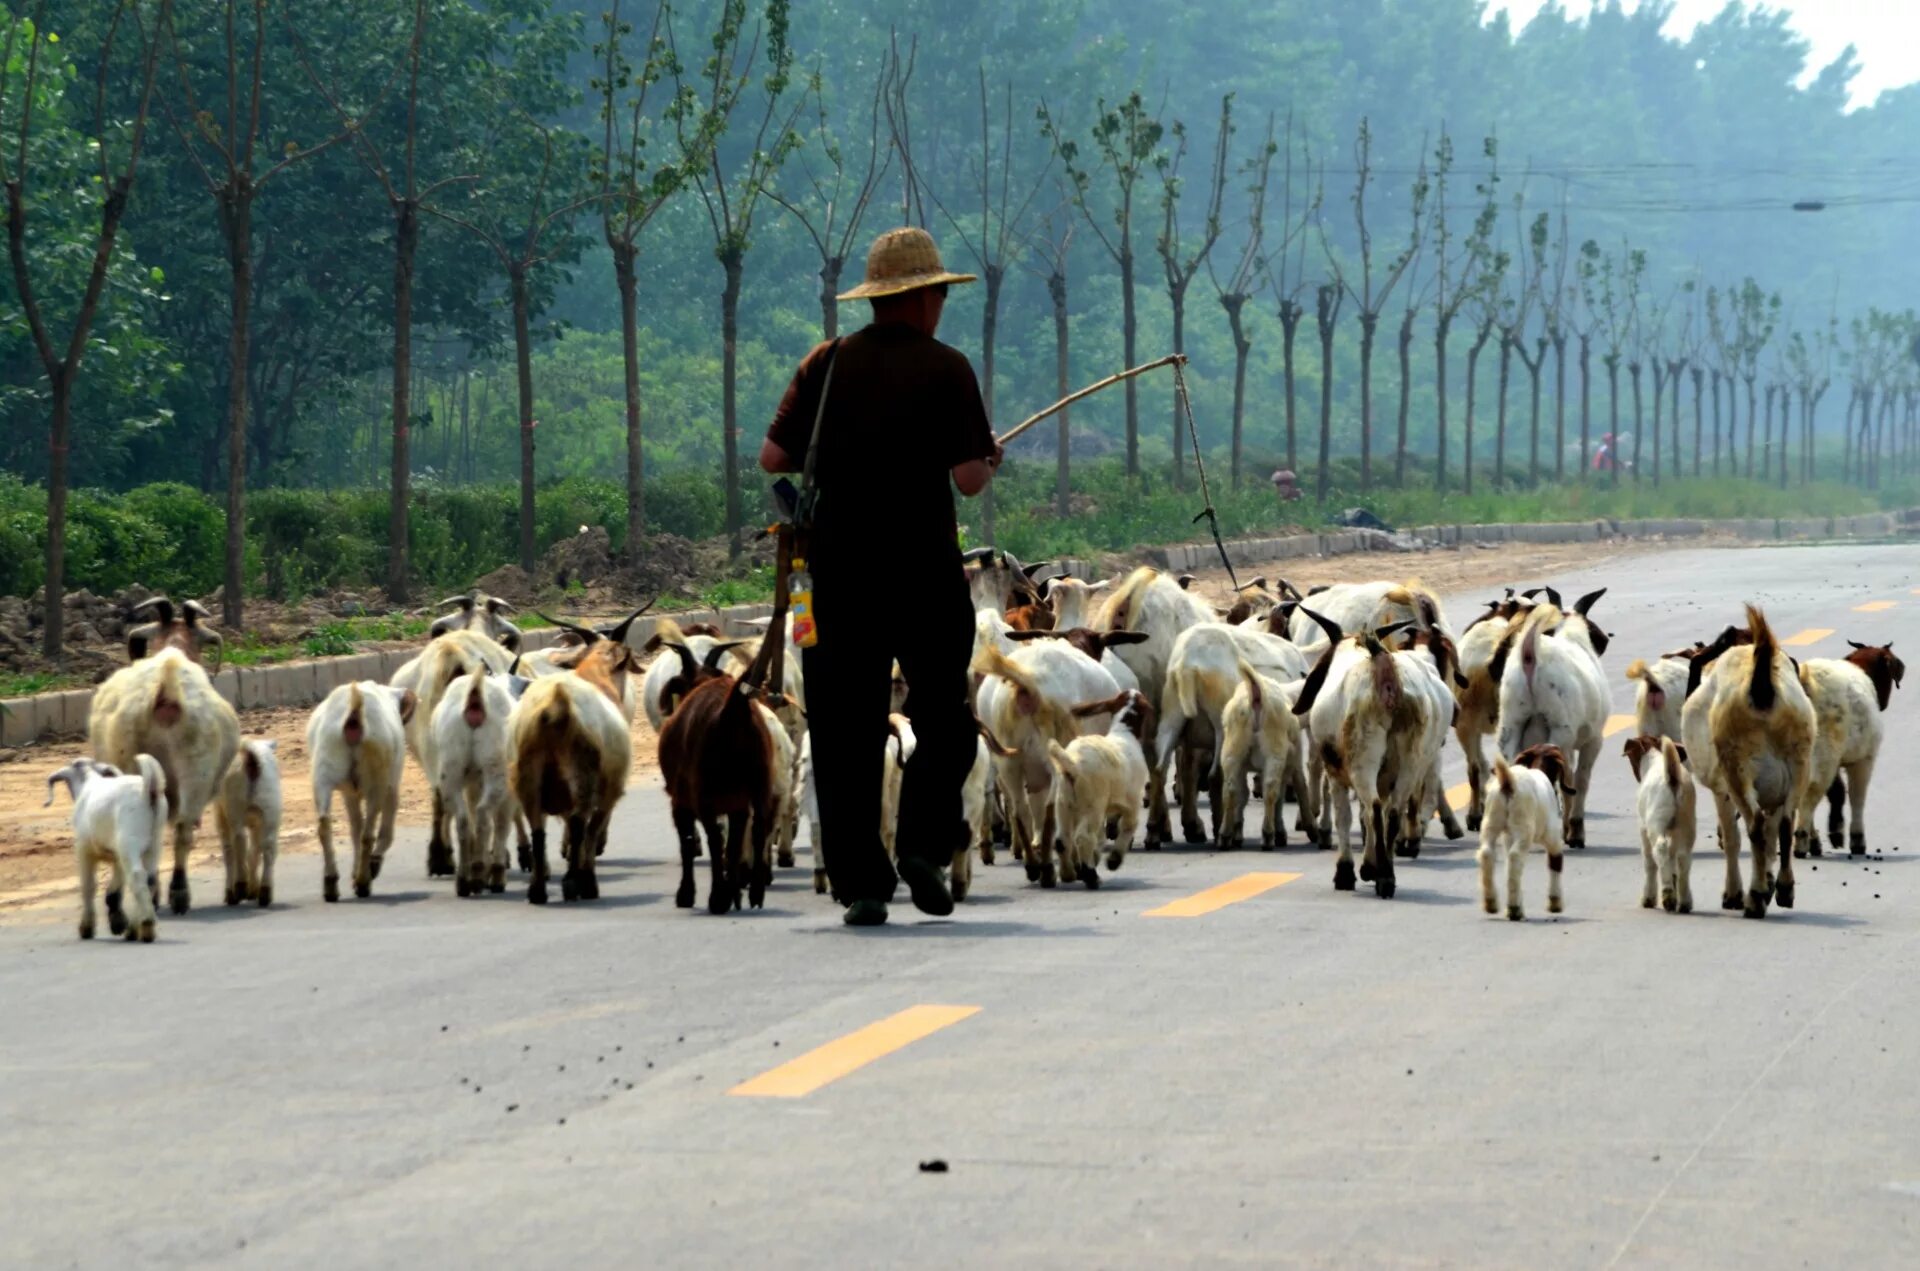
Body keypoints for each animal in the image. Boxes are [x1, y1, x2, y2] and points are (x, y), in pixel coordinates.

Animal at [46, 756, 165, 944]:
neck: (88, 781)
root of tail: (149, 789)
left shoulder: (84, 849)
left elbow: (88, 886)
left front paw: (87, 928)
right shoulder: (117, 856)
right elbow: (114, 889)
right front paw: (117, 921)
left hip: (129, 841)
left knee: (137, 876)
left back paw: (145, 925)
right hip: (154, 843)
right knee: (150, 879)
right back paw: (134, 929)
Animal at [307, 683, 416, 902]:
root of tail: (355, 709)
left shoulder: (350, 793)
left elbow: (354, 827)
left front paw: (354, 872)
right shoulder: (391, 783)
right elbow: (385, 830)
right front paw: (372, 864)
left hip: (324, 763)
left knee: (324, 825)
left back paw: (331, 884)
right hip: (376, 770)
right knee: (368, 833)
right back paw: (364, 882)